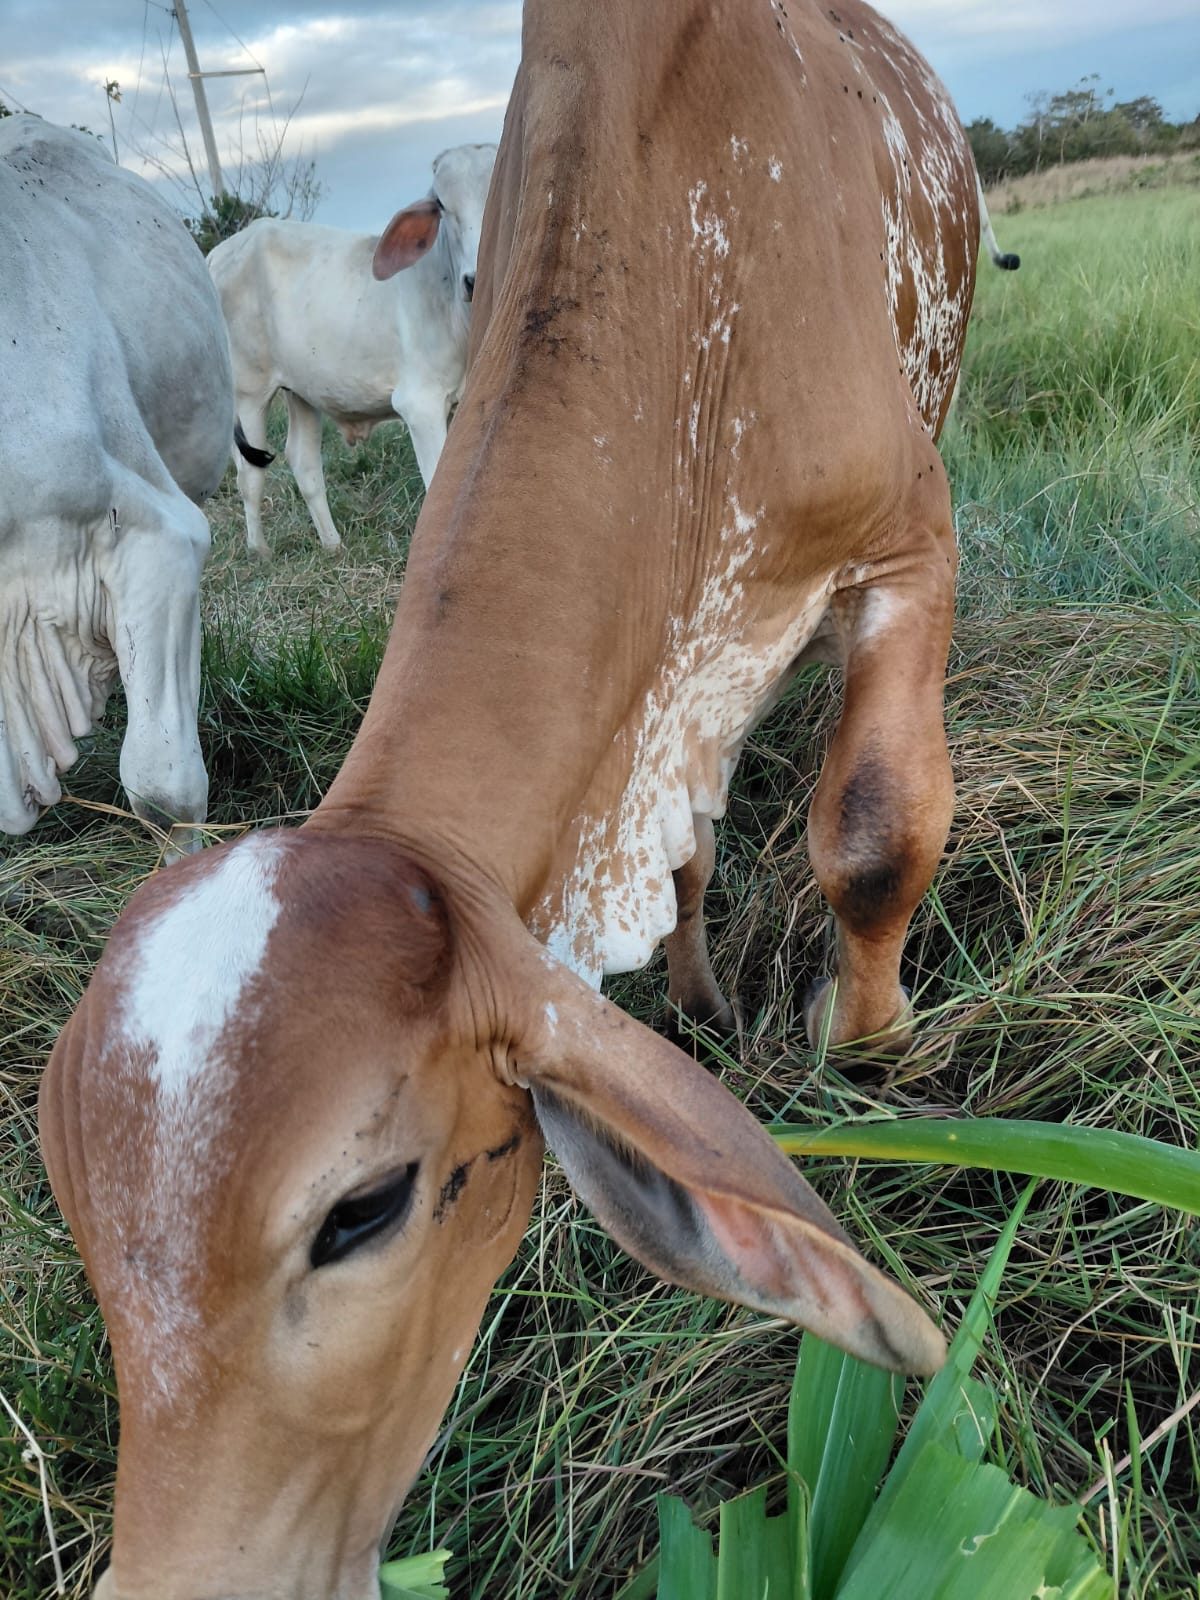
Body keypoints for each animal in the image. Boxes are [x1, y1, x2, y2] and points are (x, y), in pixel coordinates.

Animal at [208, 143, 497, 557]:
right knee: (250, 474)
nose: (474, 279)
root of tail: (218, 254)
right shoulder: (419, 404)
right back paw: (259, 550)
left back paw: (332, 545)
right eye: (441, 203)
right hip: (248, 392)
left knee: (303, 461)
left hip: (301, 389)